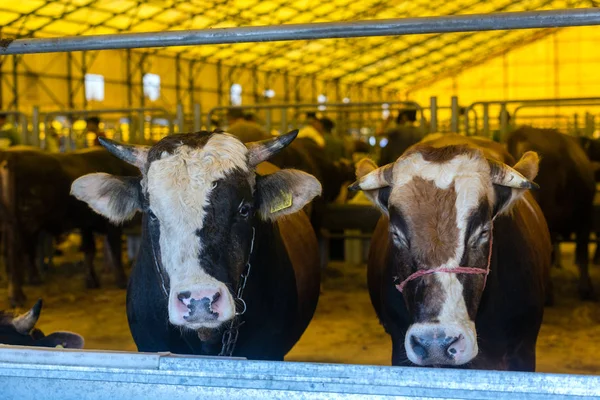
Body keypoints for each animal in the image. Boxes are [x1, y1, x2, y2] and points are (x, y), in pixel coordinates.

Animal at [0, 147, 138, 306]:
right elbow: (115, 252)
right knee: (16, 253)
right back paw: (17, 297)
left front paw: (92, 281)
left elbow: (89, 250)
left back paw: (33, 281)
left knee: (20, 252)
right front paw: (122, 282)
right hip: (25, 222)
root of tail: (11, 156)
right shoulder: (112, 226)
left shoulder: (86, 225)